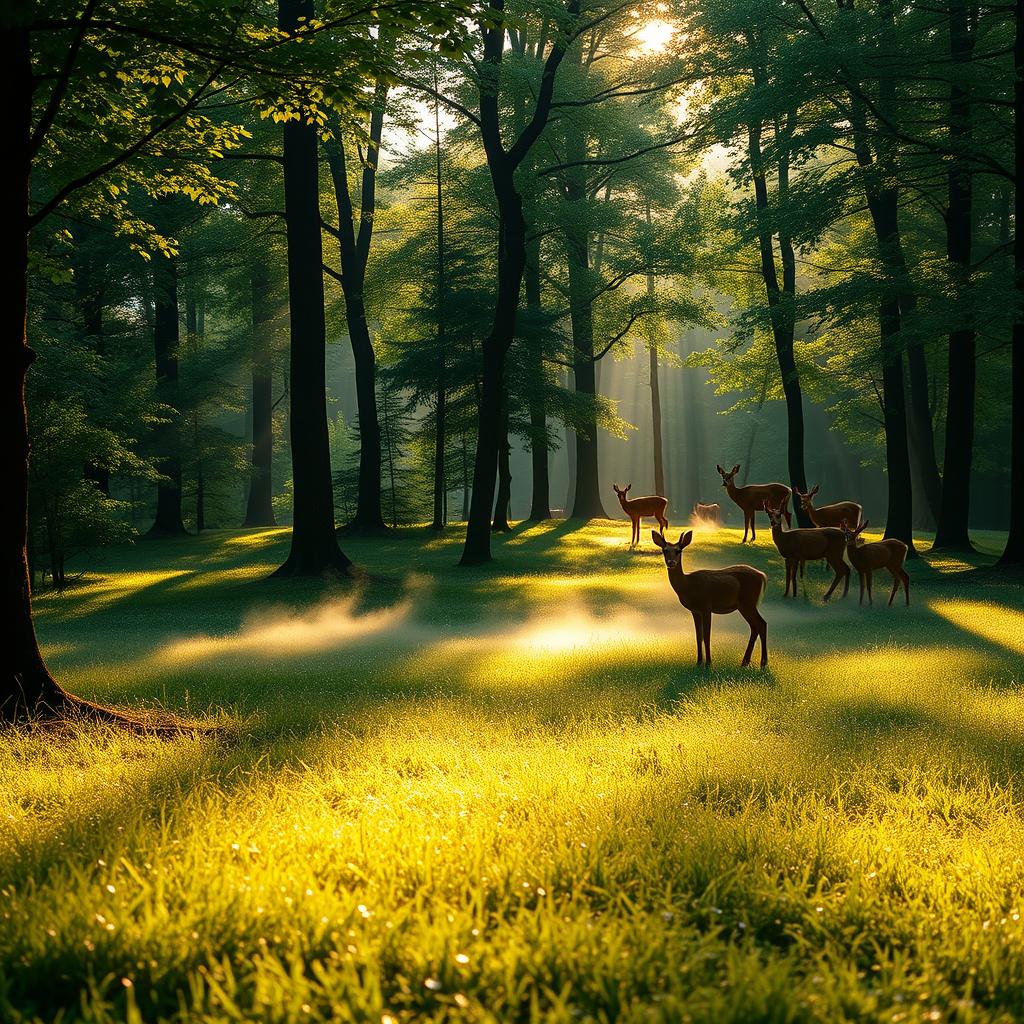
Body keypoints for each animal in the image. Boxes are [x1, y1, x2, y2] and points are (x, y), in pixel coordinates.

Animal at [651, 532, 765, 667]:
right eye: (665, 550)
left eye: (678, 550)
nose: (671, 562)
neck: (688, 585)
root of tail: (762, 576)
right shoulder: (695, 611)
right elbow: (698, 636)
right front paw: (699, 661)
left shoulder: (706, 606)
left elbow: (706, 636)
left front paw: (709, 663)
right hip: (746, 605)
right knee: (756, 626)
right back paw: (745, 662)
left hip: (748, 603)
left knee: (761, 624)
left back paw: (762, 663)